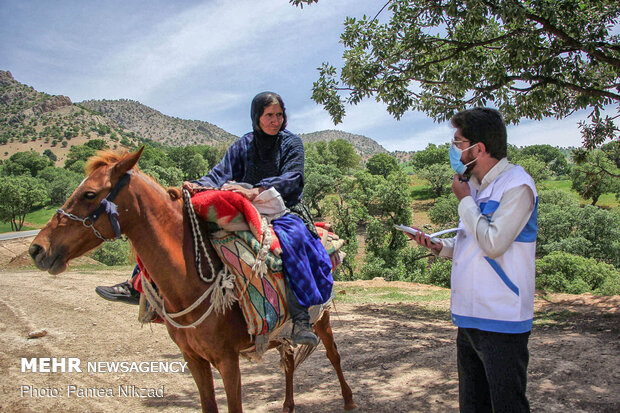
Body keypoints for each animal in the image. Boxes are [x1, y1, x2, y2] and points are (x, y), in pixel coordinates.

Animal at [30, 146, 358, 410]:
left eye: (89, 194)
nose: (37, 249)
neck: (186, 284)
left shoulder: (227, 359)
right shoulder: (193, 359)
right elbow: (208, 406)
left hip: (320, 319)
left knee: (334, 355)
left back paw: (349, 400)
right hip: (280, 331)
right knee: (288, 361)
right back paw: (288, 406)